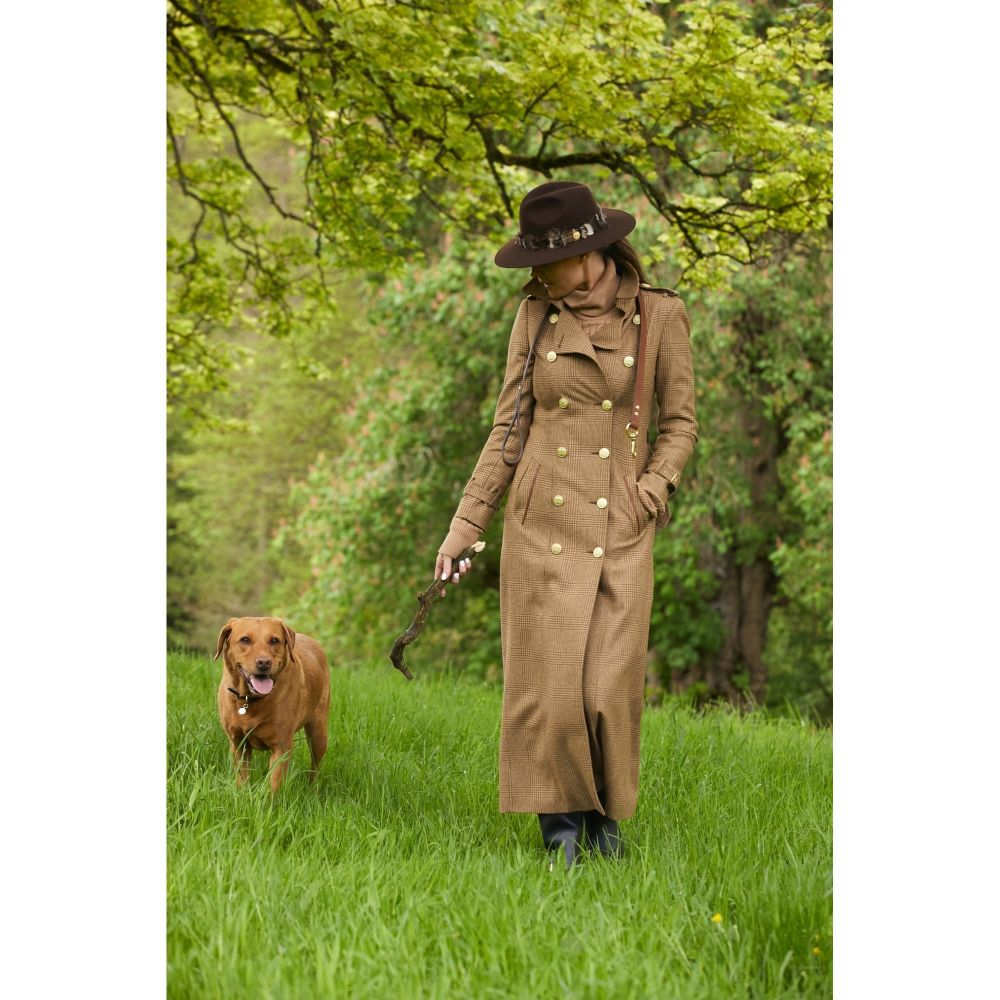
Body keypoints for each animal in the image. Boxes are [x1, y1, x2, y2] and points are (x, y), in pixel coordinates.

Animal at [214, 616, 330, 792]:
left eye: (275, 640)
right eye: (245, 640)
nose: (264, 662)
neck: (250, 699)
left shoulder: (281, 747)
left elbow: (273, 784)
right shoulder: (238, 744)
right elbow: (242, 777)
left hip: (318, 731)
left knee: (314, 768)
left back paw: (311, 790)